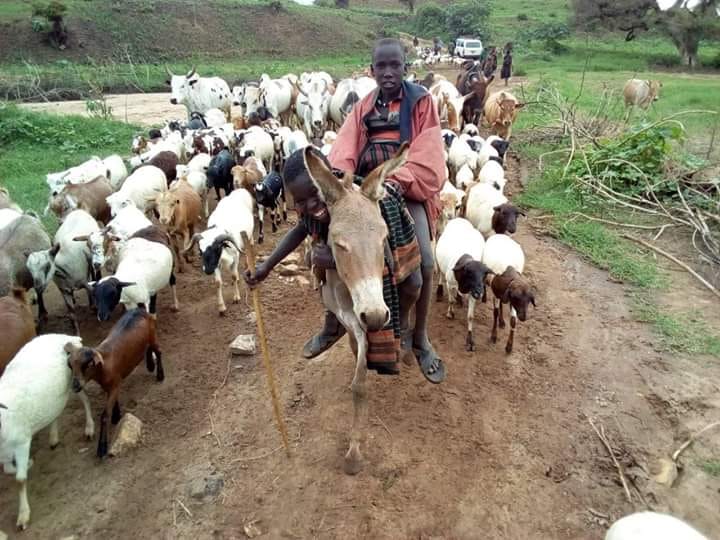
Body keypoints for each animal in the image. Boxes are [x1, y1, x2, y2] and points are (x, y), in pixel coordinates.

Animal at [0, 336, 95, 528]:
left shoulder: (22, 442)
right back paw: (53, 438)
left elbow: (20, 480)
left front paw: (23, 515)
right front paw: (27, 464)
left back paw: (89, 427)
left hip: (74, 380)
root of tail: (67, 337)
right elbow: (7, 469)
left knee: (85, 399)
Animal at [65, 306, 163, 458]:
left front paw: (102, 447)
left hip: (152, 335)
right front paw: (117, 416)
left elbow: (105, 415)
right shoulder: (111, 386)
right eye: (70, 365)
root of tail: (139, 309)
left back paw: (160, 375)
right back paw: (150, 366)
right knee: (147, 348)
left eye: (87, 365)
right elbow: (114, 402)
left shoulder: (115, 384)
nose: (75, 386)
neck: (104, 366)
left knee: (158, 351)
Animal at [434, 217, 490, 352]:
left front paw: (470, 341)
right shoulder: (450, 285)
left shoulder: (471, 294)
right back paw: (439, 292)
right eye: (470, 273)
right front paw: (450, 313)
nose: (480, 293)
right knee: (440, 275)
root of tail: (459, 218)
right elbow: (450, 301)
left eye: (484, 275)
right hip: (440, 265)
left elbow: (470, 317)